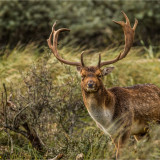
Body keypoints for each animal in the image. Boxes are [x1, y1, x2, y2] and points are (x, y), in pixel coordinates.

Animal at [47, 11, 160, 159]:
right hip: (142, 133)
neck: (108, 120)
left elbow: (121, 155)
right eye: (82, 75)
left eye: (99, 74)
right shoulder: (113, 134)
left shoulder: (126, 126)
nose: (90, 84)